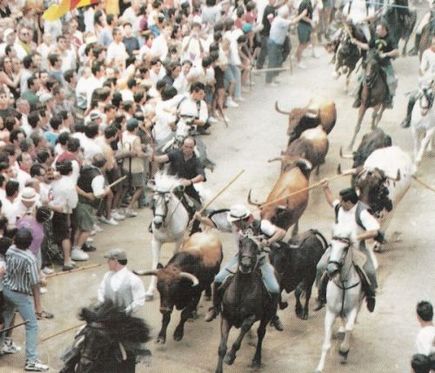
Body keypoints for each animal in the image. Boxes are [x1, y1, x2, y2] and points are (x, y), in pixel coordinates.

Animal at [215, 237, 276, 370]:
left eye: (255, 248)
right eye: (240, 244)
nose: (245, 265)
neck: (241, 291)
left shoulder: (252, 317)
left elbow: (244, 328)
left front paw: (230, 357)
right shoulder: (226, 317)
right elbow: (222, 348)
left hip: (267, 316)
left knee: (261, 333)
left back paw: (257, 360)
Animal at [316, 232, 364, 370]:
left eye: (345, 248)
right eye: (331, 245)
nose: (331, 270)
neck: (342, 283)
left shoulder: (353, 309)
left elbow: (350, 327)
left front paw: (343, 350)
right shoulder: (331, 313)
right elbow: (326, 345)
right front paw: (319, 367)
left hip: (359, 305)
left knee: (349, 323)